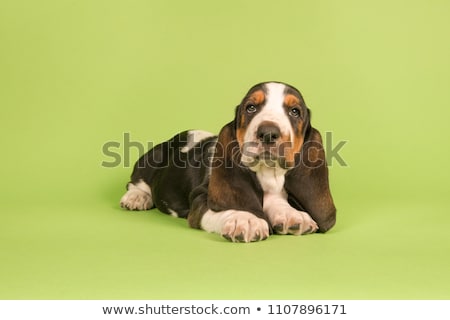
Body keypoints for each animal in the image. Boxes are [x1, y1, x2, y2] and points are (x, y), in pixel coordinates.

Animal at [121, 82, 336, 242]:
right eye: (250, 108)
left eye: (295, 111)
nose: (268, 133)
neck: (266, 174)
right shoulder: (200, 198)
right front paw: (245, 218)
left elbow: (276, 200)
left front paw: (291, 214)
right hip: (150, 161)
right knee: (136, 183)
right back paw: (136, 198)